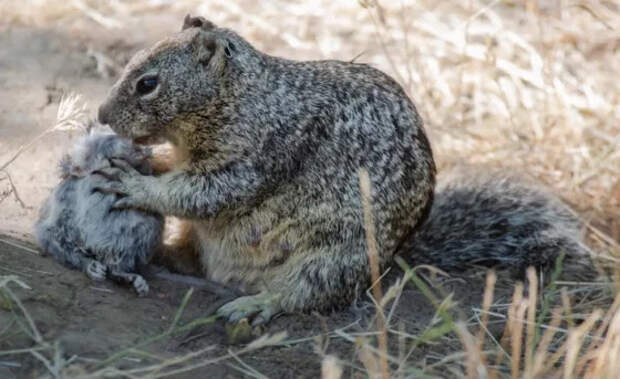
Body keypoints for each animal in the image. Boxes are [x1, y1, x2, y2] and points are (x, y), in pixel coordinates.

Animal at [95, 14, 592, 324]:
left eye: (147, 83)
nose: (101, 114)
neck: (244, 96)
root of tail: (394, 259)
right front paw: (143, 161)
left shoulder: (255, 157)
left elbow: (204, 193)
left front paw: (134, 184)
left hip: (331, 258)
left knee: (304, 294)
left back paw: (255, 304)